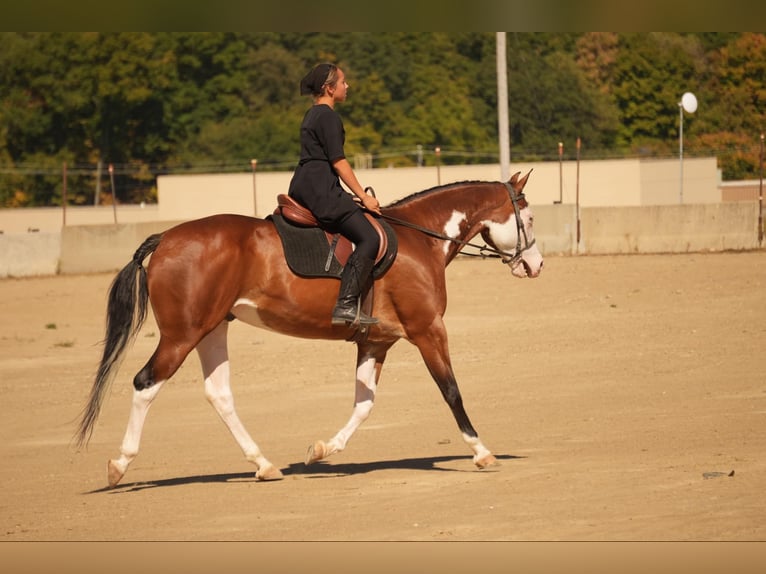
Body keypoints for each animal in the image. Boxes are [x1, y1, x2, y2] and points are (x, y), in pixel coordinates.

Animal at [72, 170, 540, 486]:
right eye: (530, 218)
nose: (535, 265)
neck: (419, 240)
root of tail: (166, 237)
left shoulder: (377, 341)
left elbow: (364, 404)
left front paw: (321, 450)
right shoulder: (427, 329)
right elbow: (450, 389)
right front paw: (481, 451)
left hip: (212, 330)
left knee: (218, 394)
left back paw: (262, 464)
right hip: (182, 335)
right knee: (145, 383)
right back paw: (119, 464)